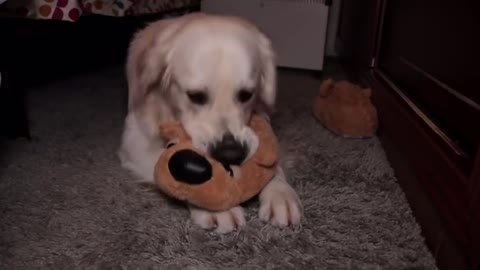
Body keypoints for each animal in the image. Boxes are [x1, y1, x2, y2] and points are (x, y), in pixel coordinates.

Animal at [118, 11, 302, 233]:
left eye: (246, 94)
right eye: (195, 96)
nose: (230, 153)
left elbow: (273, 162)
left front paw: (280, 193)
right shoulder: (134, 140)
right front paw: (218, 209)